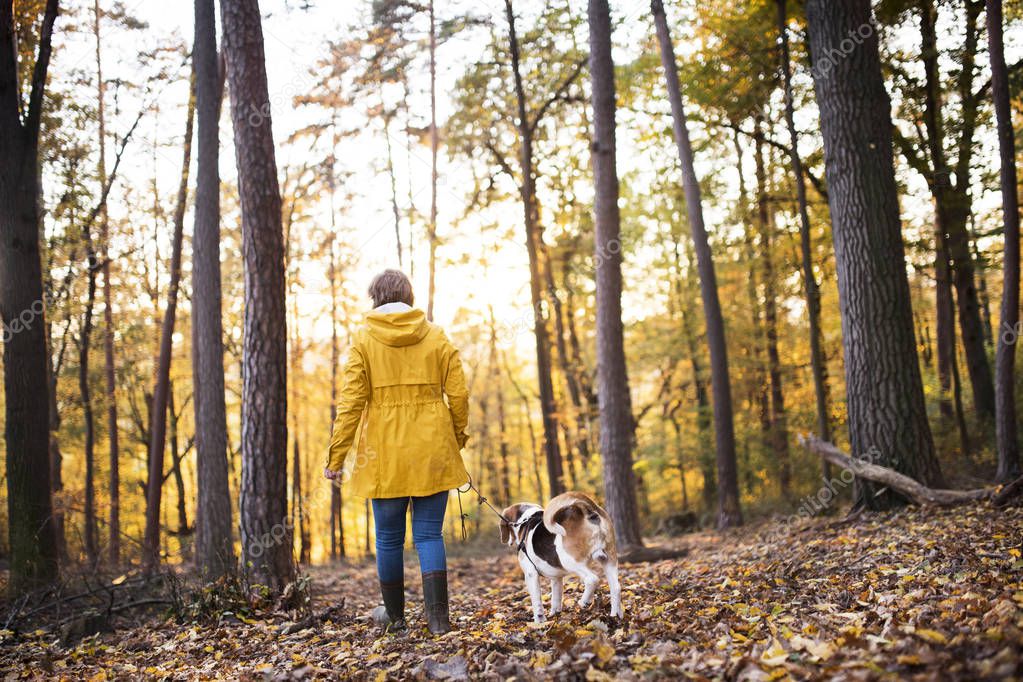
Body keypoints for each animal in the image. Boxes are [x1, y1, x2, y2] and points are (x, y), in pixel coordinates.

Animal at [497, 492, 617, 621]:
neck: (526, 519)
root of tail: (586, 509)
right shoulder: (556, 578)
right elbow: (556, 598)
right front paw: (555, 614)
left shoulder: (530, 574)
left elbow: (537, 602)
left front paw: (539, 621)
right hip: (609, 559)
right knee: (616, 588)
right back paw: (616, 616)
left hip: (570, 561)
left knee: (592, 579)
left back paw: (584, 602)